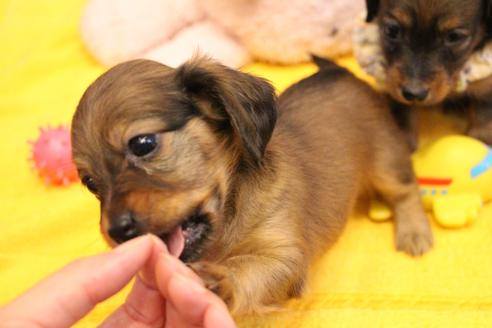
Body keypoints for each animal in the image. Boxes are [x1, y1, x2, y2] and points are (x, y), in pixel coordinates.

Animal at [71, 57, 432, 316]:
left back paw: (414, 232)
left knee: (406, 191)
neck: (231, 217)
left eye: (143, 144)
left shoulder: (288, 259)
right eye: (90, 182)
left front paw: (220, 280)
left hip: (385, 161)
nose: (116, 232)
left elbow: (248, 267)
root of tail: (339, 72)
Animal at [366, 0, 492, 145]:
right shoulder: (392, 84)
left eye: (454, 37)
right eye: (392, 30)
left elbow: (483, 124)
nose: (413, 94)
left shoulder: (487, 85)